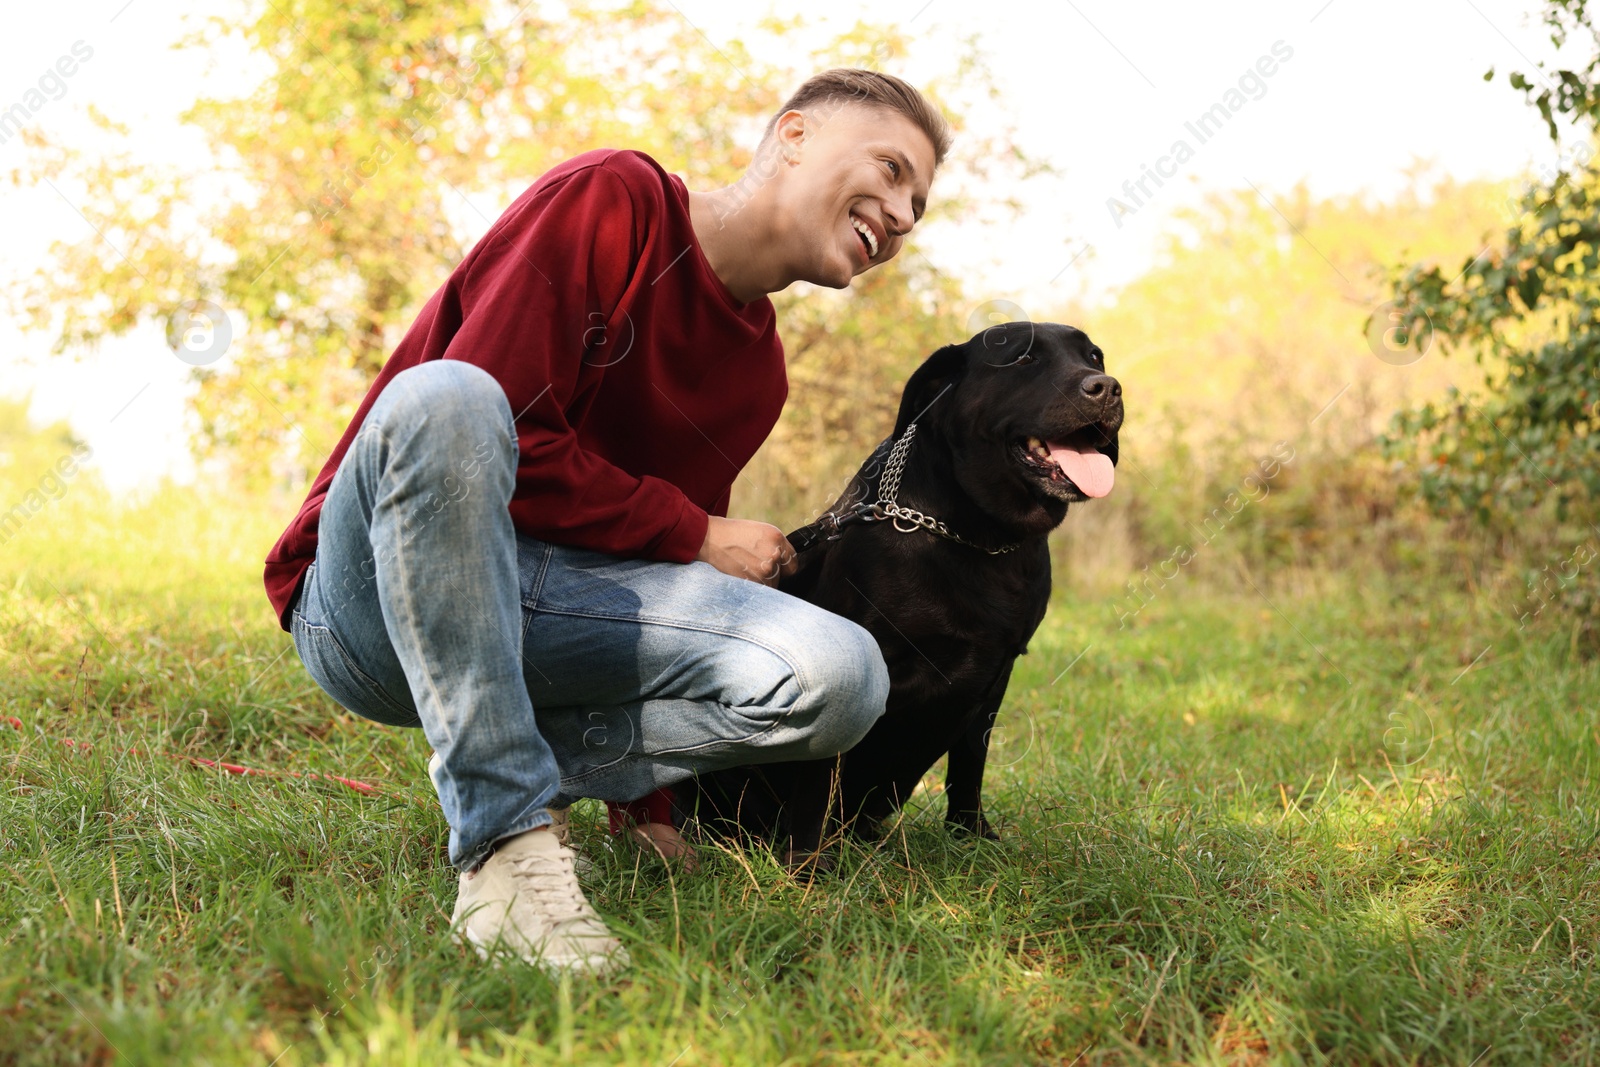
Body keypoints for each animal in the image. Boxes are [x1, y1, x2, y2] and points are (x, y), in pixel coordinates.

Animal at [675, 319, 1126, 870]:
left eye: (1095, 357)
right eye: (1023, 359)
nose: (1106, 388)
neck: (976, 535)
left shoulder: (997, 676)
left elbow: (970, 765)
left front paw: (973, 837)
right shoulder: (860, 667)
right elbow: (821, 770)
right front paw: (807, 864)